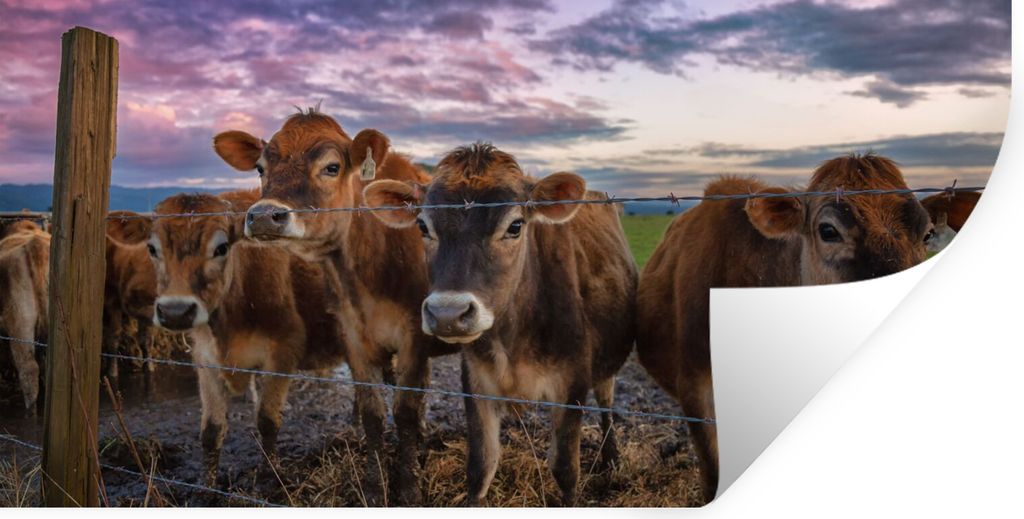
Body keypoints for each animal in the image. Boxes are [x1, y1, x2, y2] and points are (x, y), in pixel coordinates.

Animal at [147, 189, 347, 484]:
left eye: (221, 248)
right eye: (152, 249)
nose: (175, 311)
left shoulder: (283, 349)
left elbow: (267, 419)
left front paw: (271, 474)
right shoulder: (205, 358)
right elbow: (211, 430)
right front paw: (207, 485)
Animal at [212, 109, 457, 505]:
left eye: (331, 167)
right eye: (261, 168)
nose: (264, 216)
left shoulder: (414, 337)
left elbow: (404, 413)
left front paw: (409, 489)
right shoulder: (352, 336)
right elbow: (374, 415)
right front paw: (374, 488)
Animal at [363, 143, 638, 506]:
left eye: (515, 226)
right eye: (422, 226)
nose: (448, 313)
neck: (514, 338)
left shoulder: (572, 384)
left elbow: (566, 471)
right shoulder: (477, 382)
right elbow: (481, 466)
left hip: (606, 363)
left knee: (606, 402)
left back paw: (612, 459)